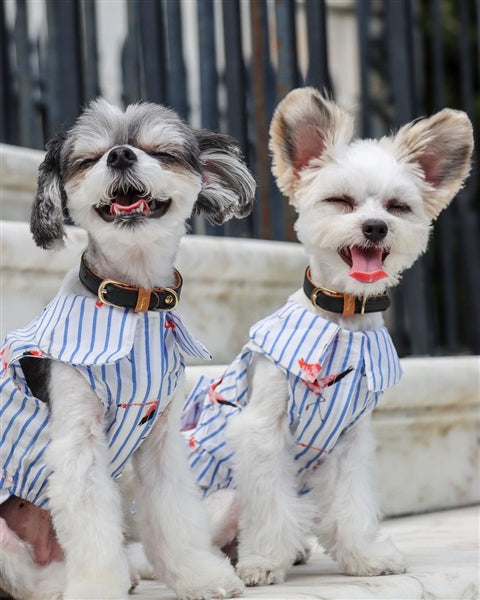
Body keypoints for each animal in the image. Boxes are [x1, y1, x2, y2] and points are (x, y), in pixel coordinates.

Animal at [0, 98, 255, 600]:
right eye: (88, 159)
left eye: (162, 152)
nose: (119, 155)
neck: (133, 302)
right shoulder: (78, 442)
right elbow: (92, 526)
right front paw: (98, 588)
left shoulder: (160, 439)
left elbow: (174, 516)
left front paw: (198, 575)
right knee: (24, 577)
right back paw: (64, 584)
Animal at [182, 89, 474, 584]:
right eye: (340, 201)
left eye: (397, 207)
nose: (375, 226)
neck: (344, 319)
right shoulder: (263, 431)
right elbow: (269, 505)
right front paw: (263, 562)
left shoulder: (350, 442)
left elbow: (351, 503)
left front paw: (364, 556)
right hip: (220, 500)